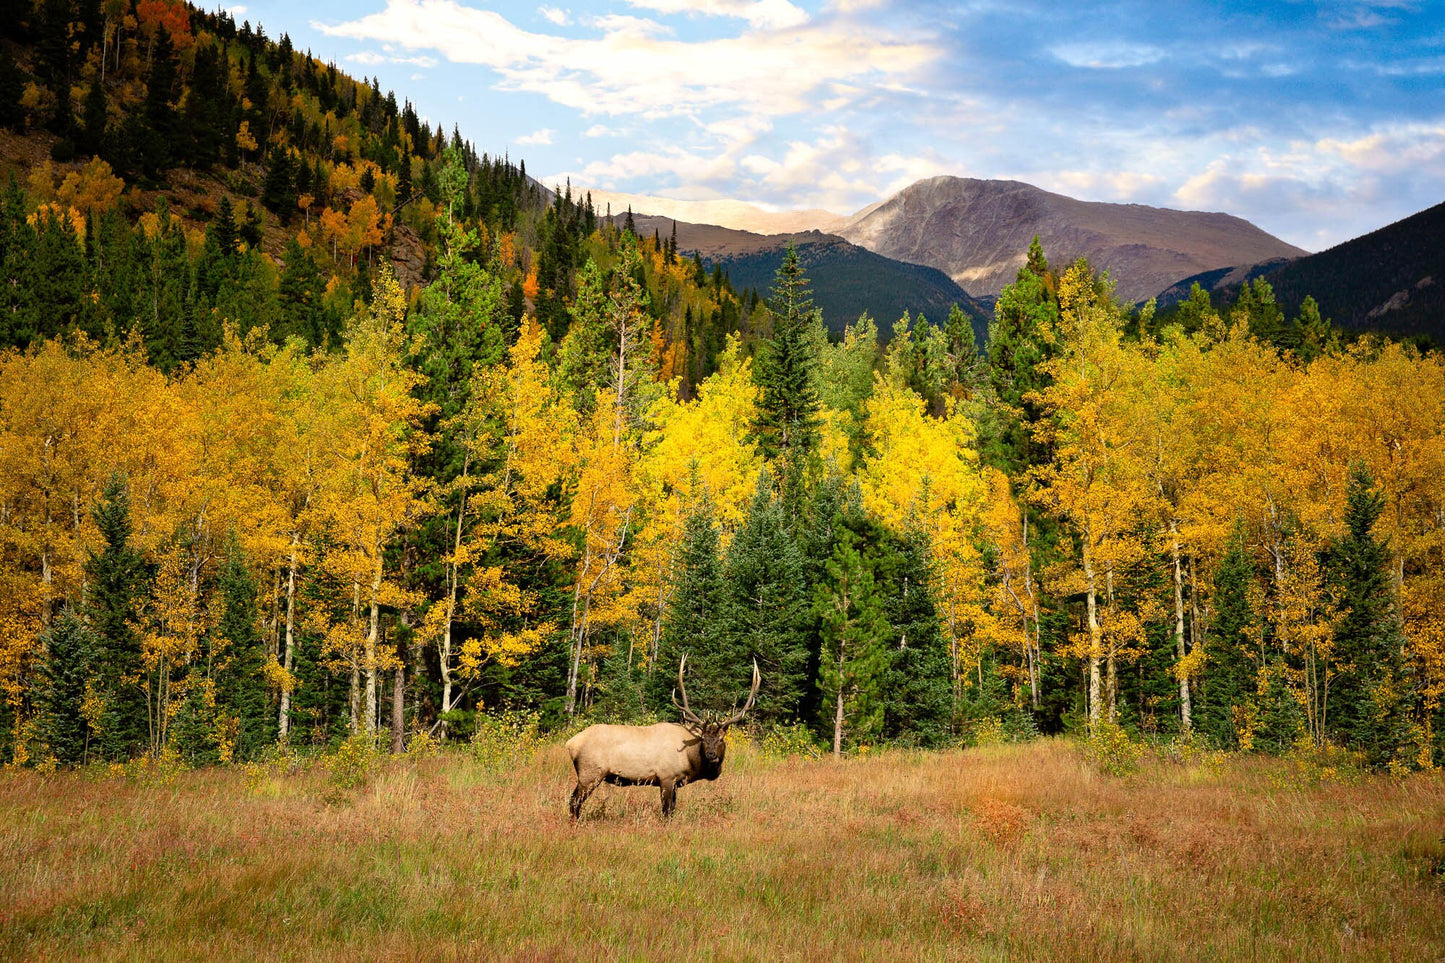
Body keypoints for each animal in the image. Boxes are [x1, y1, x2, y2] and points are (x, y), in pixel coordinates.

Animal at [569, 647, 762, 815]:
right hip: (590, 773)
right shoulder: (666, 777)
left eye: (721, 738)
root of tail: (570, 743)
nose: (711, 755)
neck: (690, 759)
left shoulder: (675, 782)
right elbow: (667, 811)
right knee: (574, 802)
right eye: (704, 739)